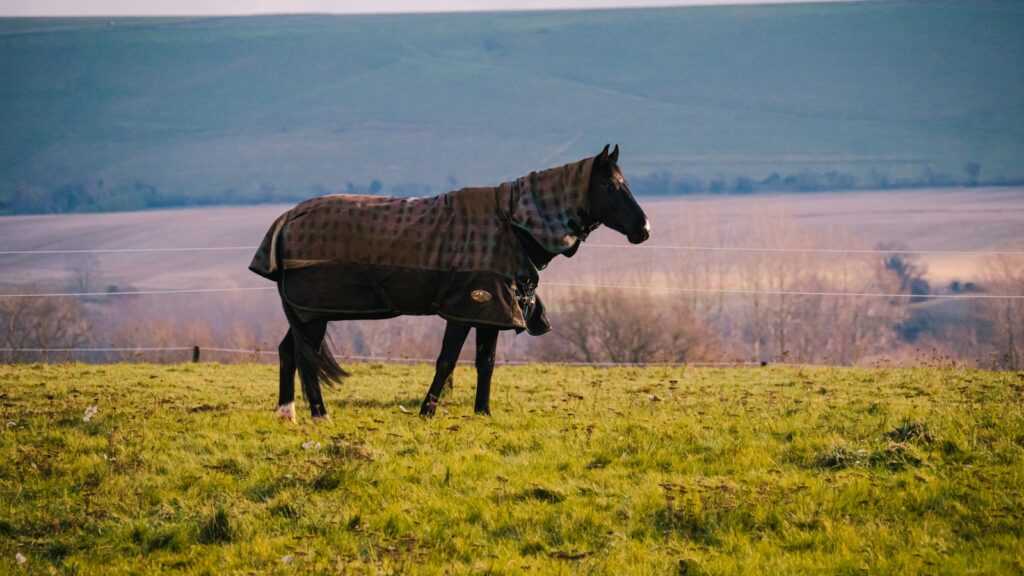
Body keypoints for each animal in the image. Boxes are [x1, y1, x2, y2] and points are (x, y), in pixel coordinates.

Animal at [250, 145, 649, 422]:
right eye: (610, 185)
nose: (643, 229)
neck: (511, 225)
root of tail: (286, 221)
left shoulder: (492, 312)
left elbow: (486, 362)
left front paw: (483, 412)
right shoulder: (464, 308)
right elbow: (447, 361)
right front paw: (427, 411)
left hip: (304, 316)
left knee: (289, 352)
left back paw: (287, 413)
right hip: (313, 316)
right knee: (307, 358)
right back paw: (320, 414)